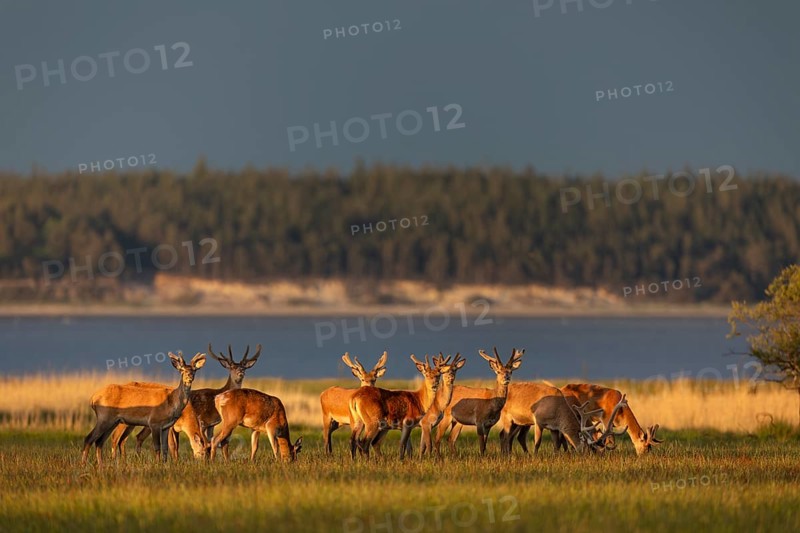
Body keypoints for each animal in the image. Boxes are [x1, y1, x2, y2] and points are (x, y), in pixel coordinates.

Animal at [109, 343, 261, 458]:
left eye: (244, 367)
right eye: (231, 368)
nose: (240, 373)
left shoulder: (210, 424)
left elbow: (212, 443)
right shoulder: (198, 422)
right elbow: (175, 446)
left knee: (131, 438)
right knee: (118, 438)